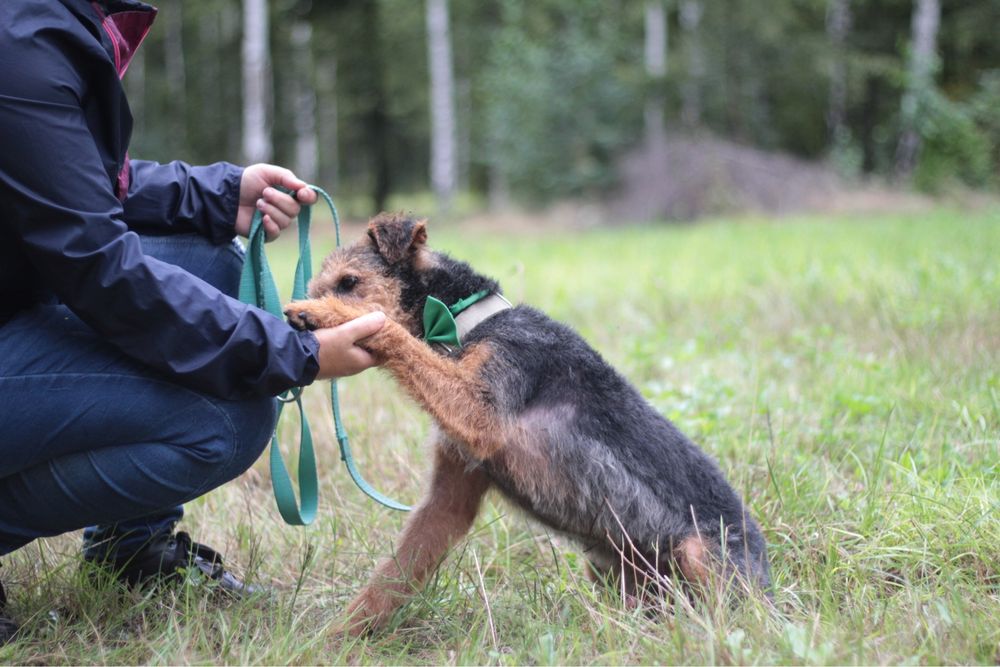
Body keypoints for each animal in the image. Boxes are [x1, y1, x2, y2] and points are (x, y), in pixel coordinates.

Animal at [286, 215, 768, 636]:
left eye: (349, 282)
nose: (296, 326)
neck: (467, 321)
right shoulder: (449, 496)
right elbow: (392, 576)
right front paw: (334, 639)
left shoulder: (477, 410)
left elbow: (390, 330)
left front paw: (327, 314)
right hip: (613, 569)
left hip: (700, 555)